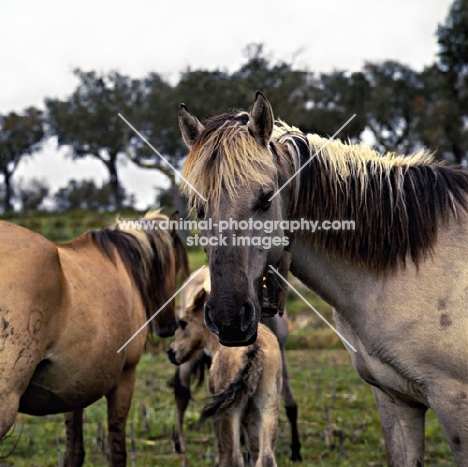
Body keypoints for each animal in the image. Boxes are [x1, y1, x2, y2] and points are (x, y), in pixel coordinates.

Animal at [0, 213, 190, 467]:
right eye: (173, 266)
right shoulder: (126, 376)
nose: (169, 325)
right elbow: (117, 451)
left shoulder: (69, 386)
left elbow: (74, 451)